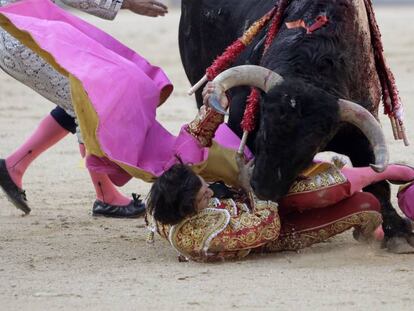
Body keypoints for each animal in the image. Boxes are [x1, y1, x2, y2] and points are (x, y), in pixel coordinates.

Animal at [179, 0, 414, 249]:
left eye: (313, 147)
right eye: (263, 132)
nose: (265, 188)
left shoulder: (362, 132)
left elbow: (378, 180)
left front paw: (397, 232)